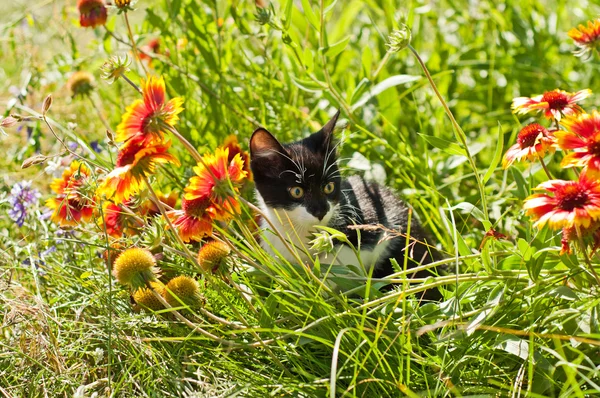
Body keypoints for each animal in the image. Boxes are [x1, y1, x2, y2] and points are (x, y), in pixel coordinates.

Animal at [248, 109, 440, 298]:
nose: (321, 211)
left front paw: (320, 284)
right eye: (297, 191)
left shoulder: (375, 215)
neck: (301, 231)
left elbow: (347, 256)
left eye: (329, 187)